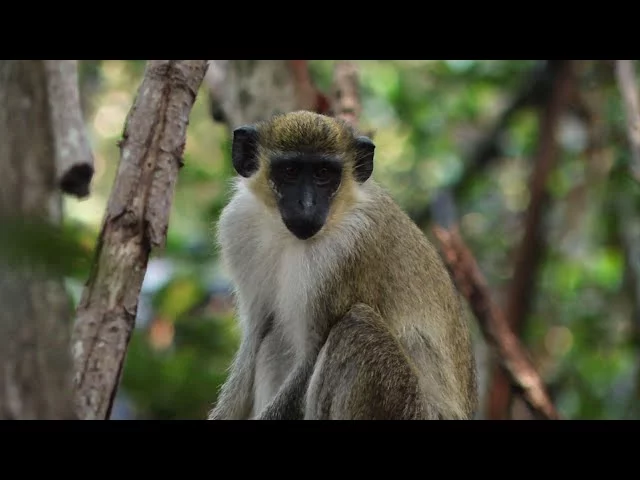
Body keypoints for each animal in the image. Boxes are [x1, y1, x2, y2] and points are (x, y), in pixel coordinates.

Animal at [208, 110, 478, 418]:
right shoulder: (238, 224)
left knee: (356, 327)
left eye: (323, 174)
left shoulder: (347, 251)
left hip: (406, 406)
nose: (306, 206)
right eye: (290, 171)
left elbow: (310, 358)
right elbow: (255, 338)